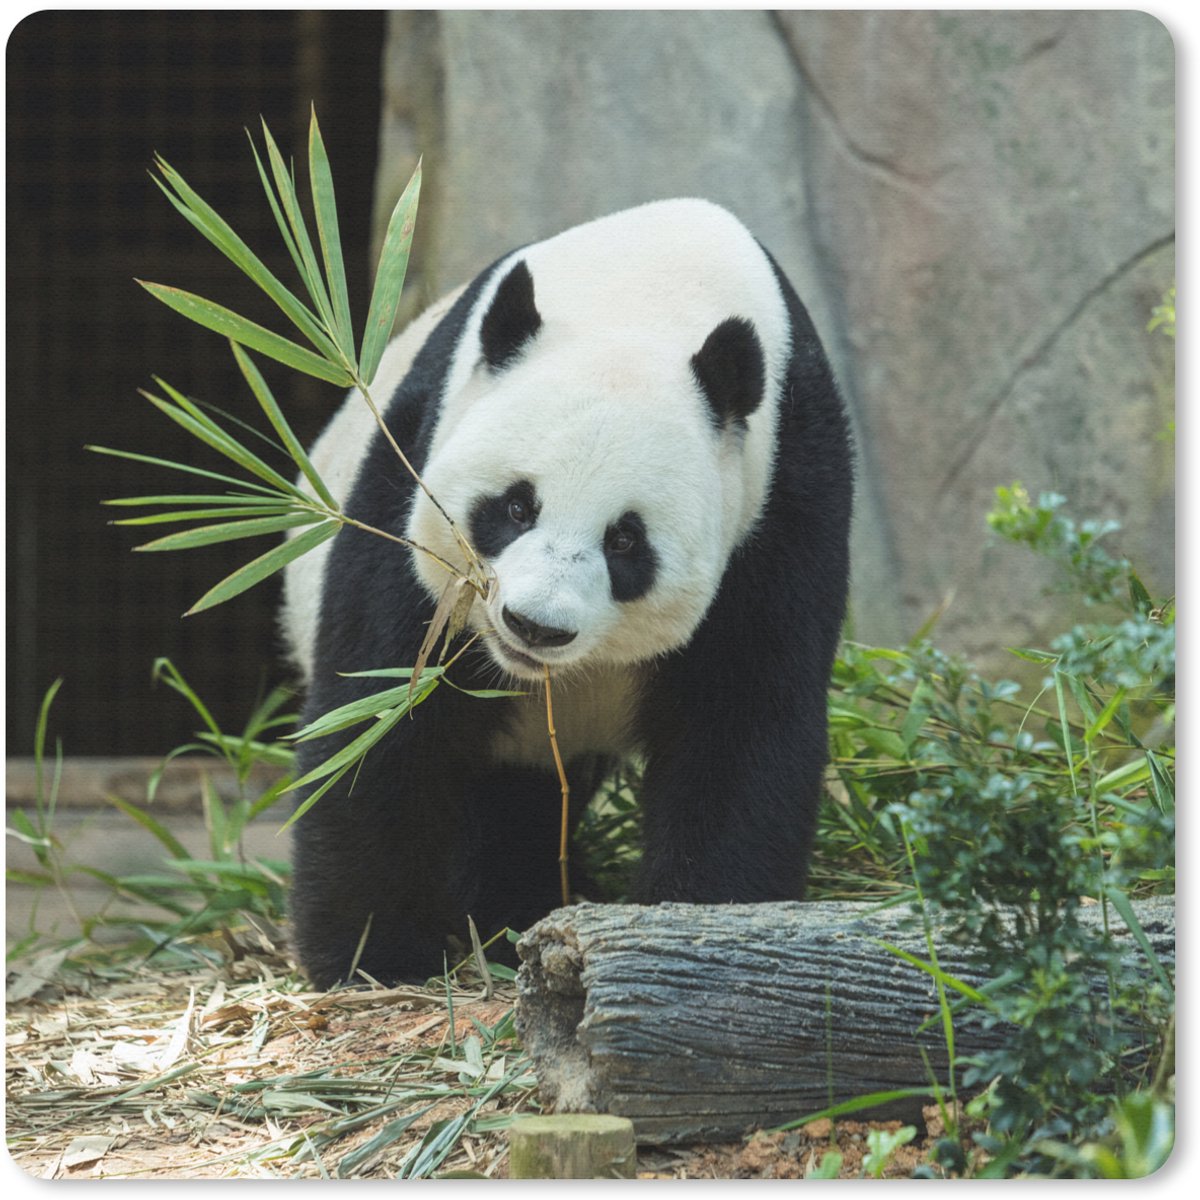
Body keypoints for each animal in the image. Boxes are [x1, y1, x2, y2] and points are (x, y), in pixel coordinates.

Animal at [281, 198, 853, 989]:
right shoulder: (413, 468)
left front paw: (701, 925)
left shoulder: (783, 499)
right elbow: (383, 714)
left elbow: (742, 725)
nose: (534, 626)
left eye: (626, 541)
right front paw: (376, 957)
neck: (646, 291)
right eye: (516, 506)